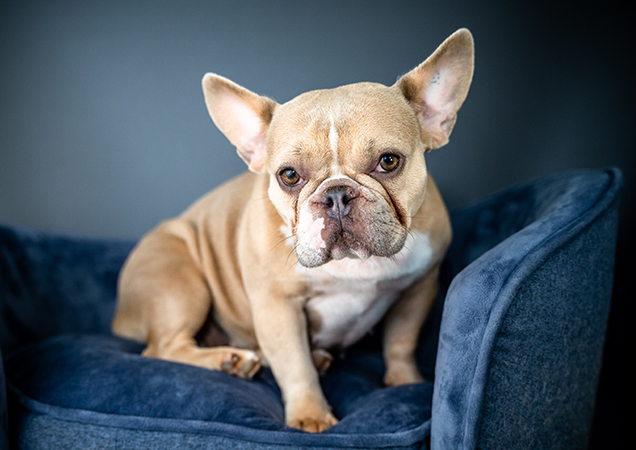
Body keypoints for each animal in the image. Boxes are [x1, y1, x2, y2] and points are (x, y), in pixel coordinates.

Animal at [112, 28, 474, 433]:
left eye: (389, 161)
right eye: (289, 176)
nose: (336, 194)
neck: (352, 265)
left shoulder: (418, 287)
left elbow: (401, 341)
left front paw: (405, 383)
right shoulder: (277, 306)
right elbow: (295, 364)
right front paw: (311, 416)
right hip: (180, 281)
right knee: (163, 348)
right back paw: (229, 361)